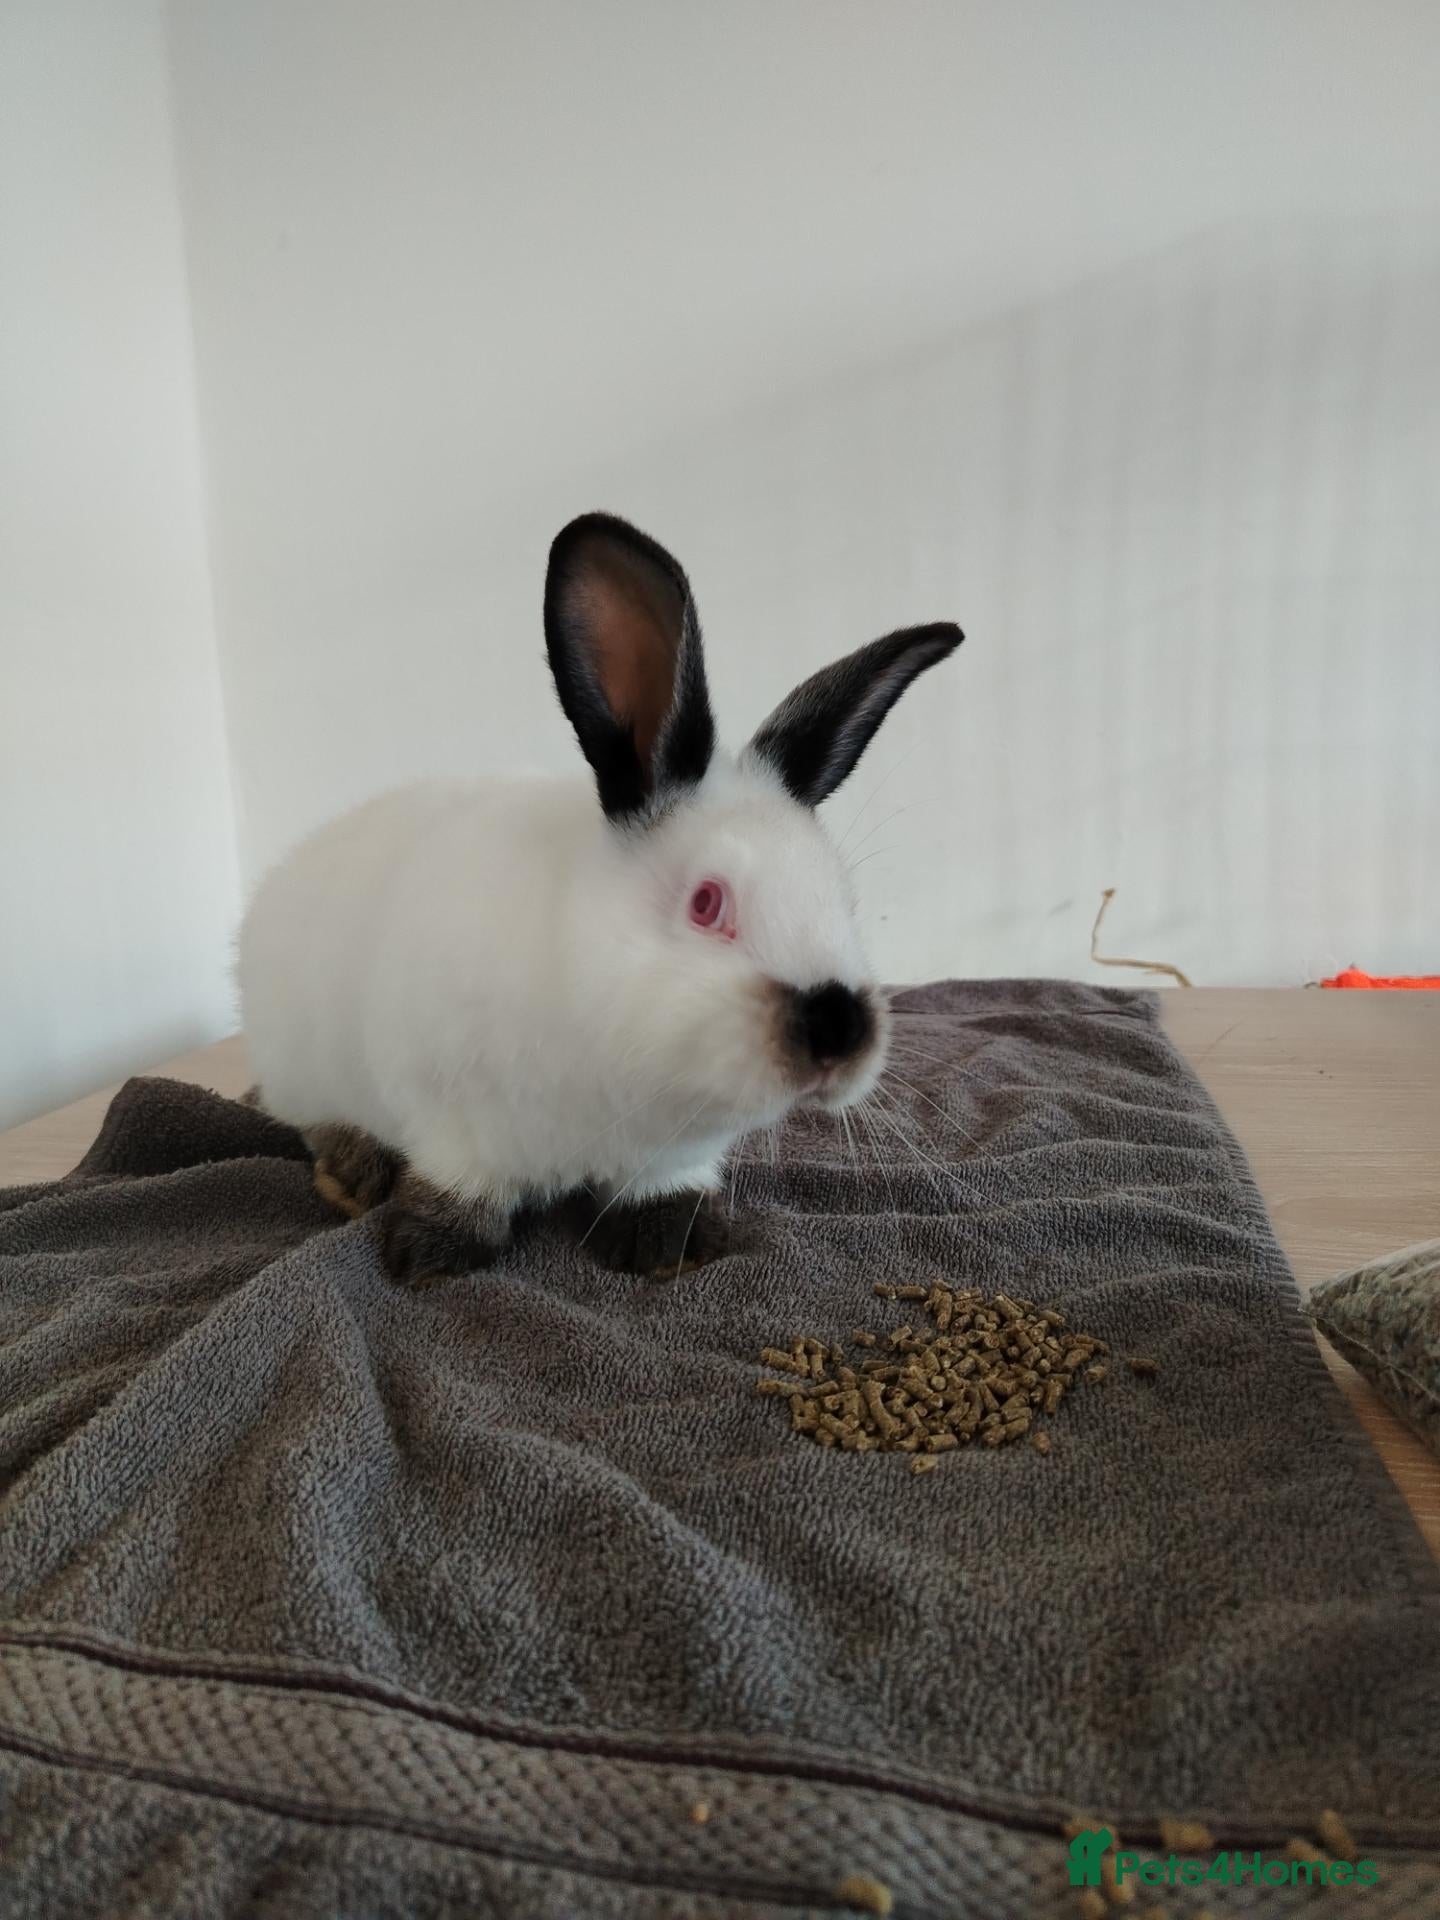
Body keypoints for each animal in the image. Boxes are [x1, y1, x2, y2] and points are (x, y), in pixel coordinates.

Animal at [237, 513, 963, 1284]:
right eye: (707, 903)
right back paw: (352, 1173)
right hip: (300, 1068)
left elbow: (661, 1190)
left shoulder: (672, 1153)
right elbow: (460, 1187)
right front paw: (432, 1253)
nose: (841, 1030)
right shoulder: (447, 1117)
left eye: (846, 899)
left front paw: (667, 1244)